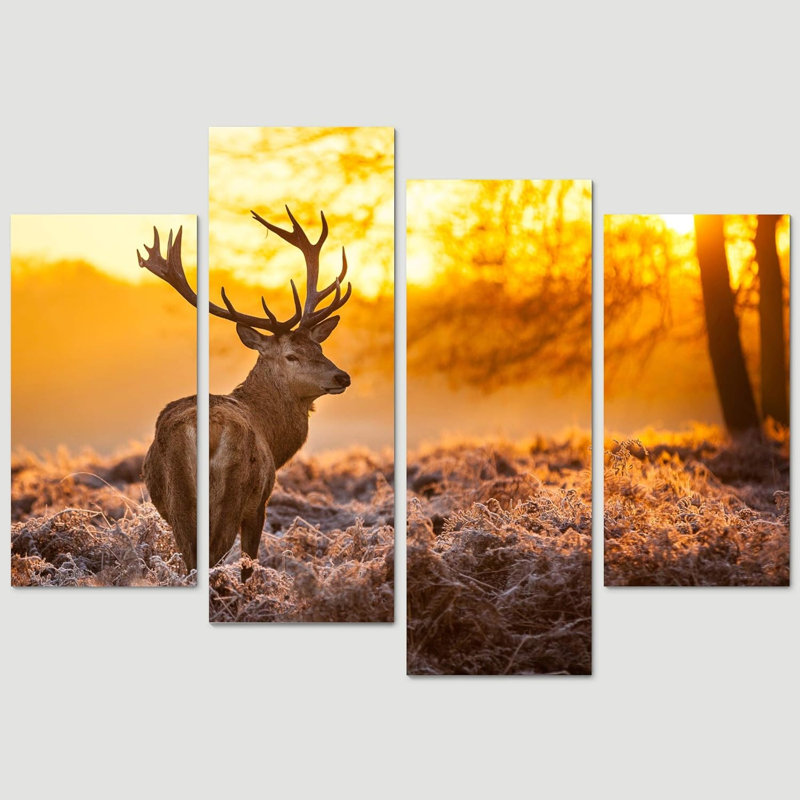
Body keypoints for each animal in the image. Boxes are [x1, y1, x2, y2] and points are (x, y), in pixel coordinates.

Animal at [137, 208, 352, 579]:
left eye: (319, 347)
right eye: (291, 355)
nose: (342, 376)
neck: (273, 437)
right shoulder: (260, 502)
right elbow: (250, 563)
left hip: (179, 499)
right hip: (232, 494)